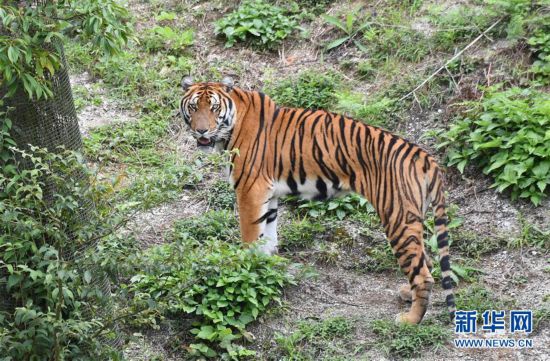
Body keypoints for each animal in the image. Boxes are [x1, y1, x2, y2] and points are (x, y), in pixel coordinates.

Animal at [180, 76, 458, 324]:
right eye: (193, 107)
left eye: (214, 108)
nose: (201, 130)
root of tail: (425, 156)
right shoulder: (268, 195)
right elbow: (268, 237)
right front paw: (266, 269)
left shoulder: (250, 191)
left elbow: (250, 239)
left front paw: (245, 273)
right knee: (425, 260)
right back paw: (406, 294)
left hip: (398, 216)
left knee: (422, 274)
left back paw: (410, 320)